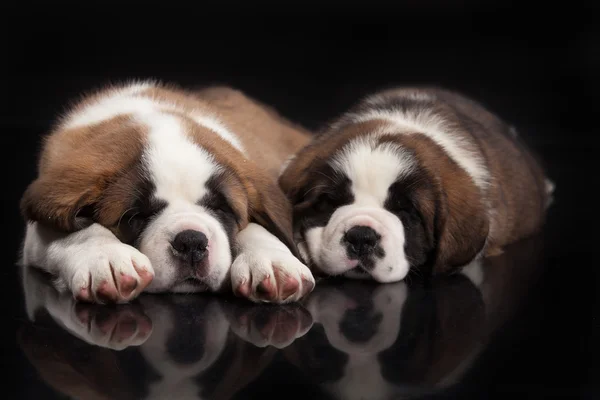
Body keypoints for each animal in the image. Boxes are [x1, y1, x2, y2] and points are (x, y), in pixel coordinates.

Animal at [21, 81, 316, 304]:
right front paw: (107, 258)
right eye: (135, 217)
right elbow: (78, 230)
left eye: (221, 210)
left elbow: (254, 228)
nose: (192, 242)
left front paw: (273, 261)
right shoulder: (37, 231)